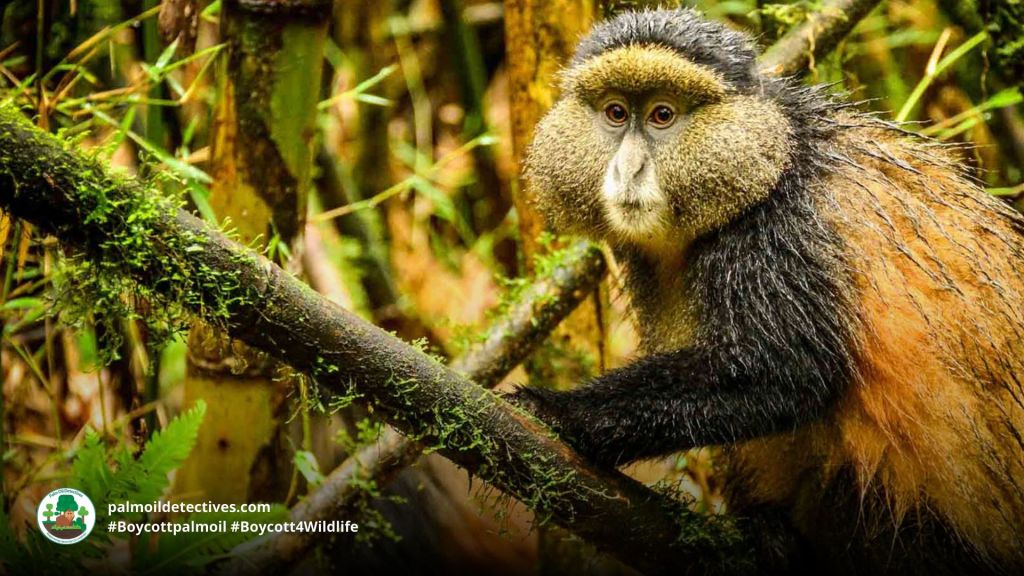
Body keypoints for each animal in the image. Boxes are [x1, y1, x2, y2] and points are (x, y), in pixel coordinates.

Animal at [510, 8, 1024, 575]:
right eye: (616, 113)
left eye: (663, 115)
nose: (629, 169)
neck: (773, 156)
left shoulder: (778, 232)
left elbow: (785, 371)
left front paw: (560, 412)